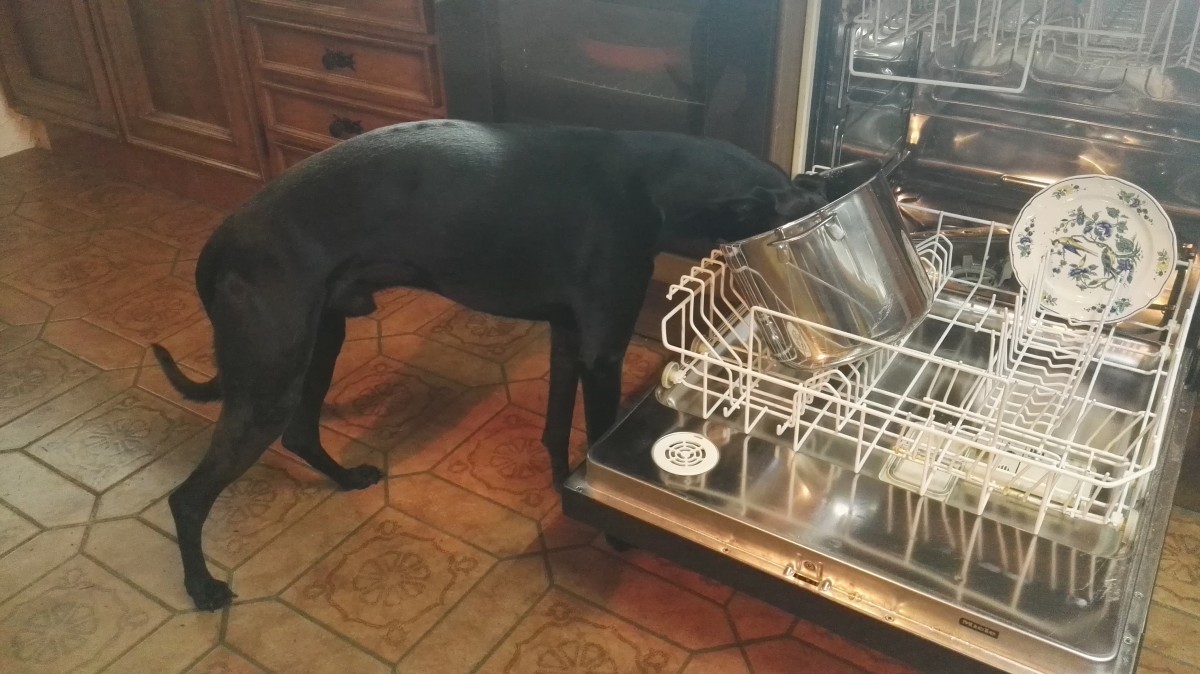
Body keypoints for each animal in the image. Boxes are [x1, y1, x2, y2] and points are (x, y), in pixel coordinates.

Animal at [151, 120, 828, 610]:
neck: (648, 182)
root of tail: (220, 242)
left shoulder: (568, 335)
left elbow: (557, 432)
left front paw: (559, 484)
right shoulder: (601, 350)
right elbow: (593, 434)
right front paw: (614, 533)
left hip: (318, 344)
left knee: (299, 433)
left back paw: (344, 479)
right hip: (272, 376)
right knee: (187, 499)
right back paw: (201, 588)